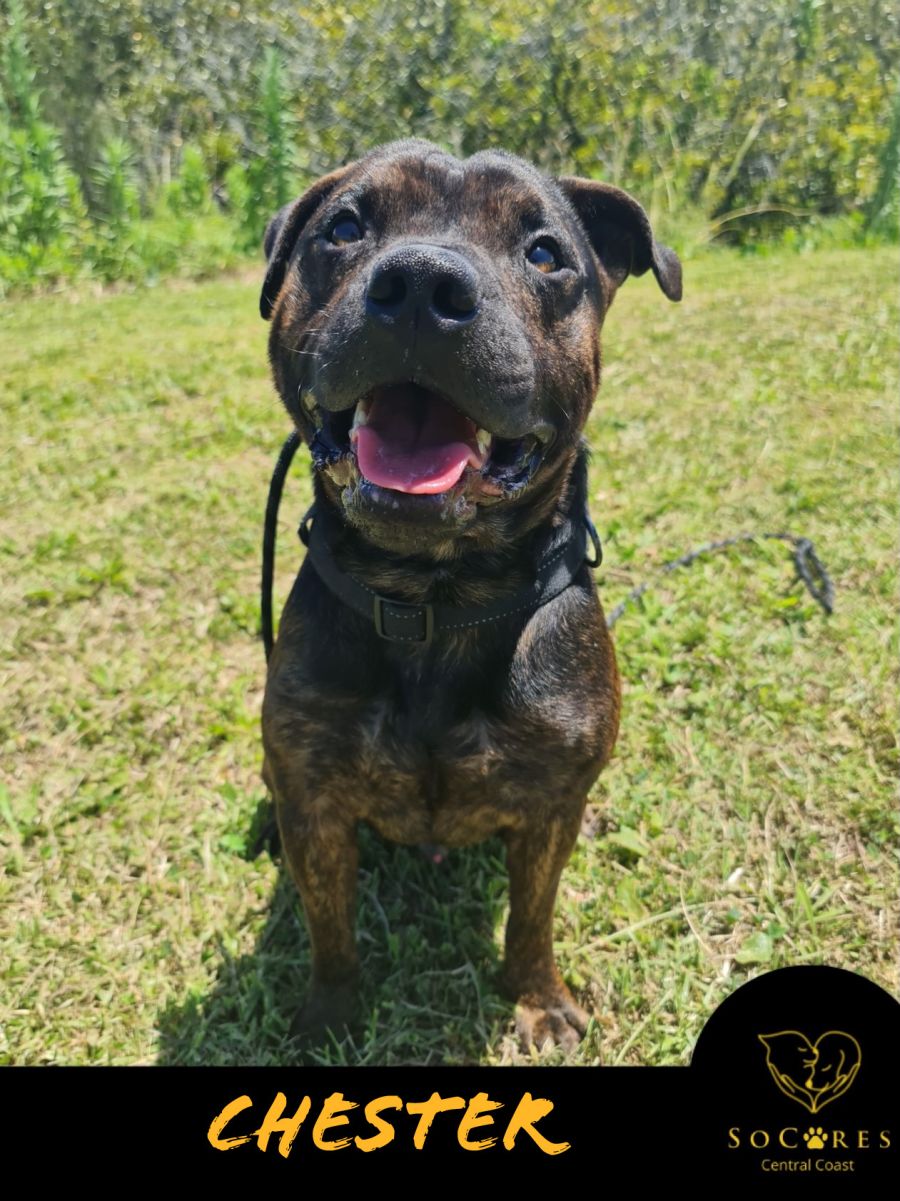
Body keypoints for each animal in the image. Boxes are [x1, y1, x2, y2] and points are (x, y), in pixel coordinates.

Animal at [259, 139, 681, 1052]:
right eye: (344, 228)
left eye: (545, 253)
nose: (421, 284)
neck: (434, 591)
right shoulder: (314, 800)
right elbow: (328, 923)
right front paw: (330, 1013)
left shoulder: (549, 804)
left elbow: (533, 914)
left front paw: (538, 998)